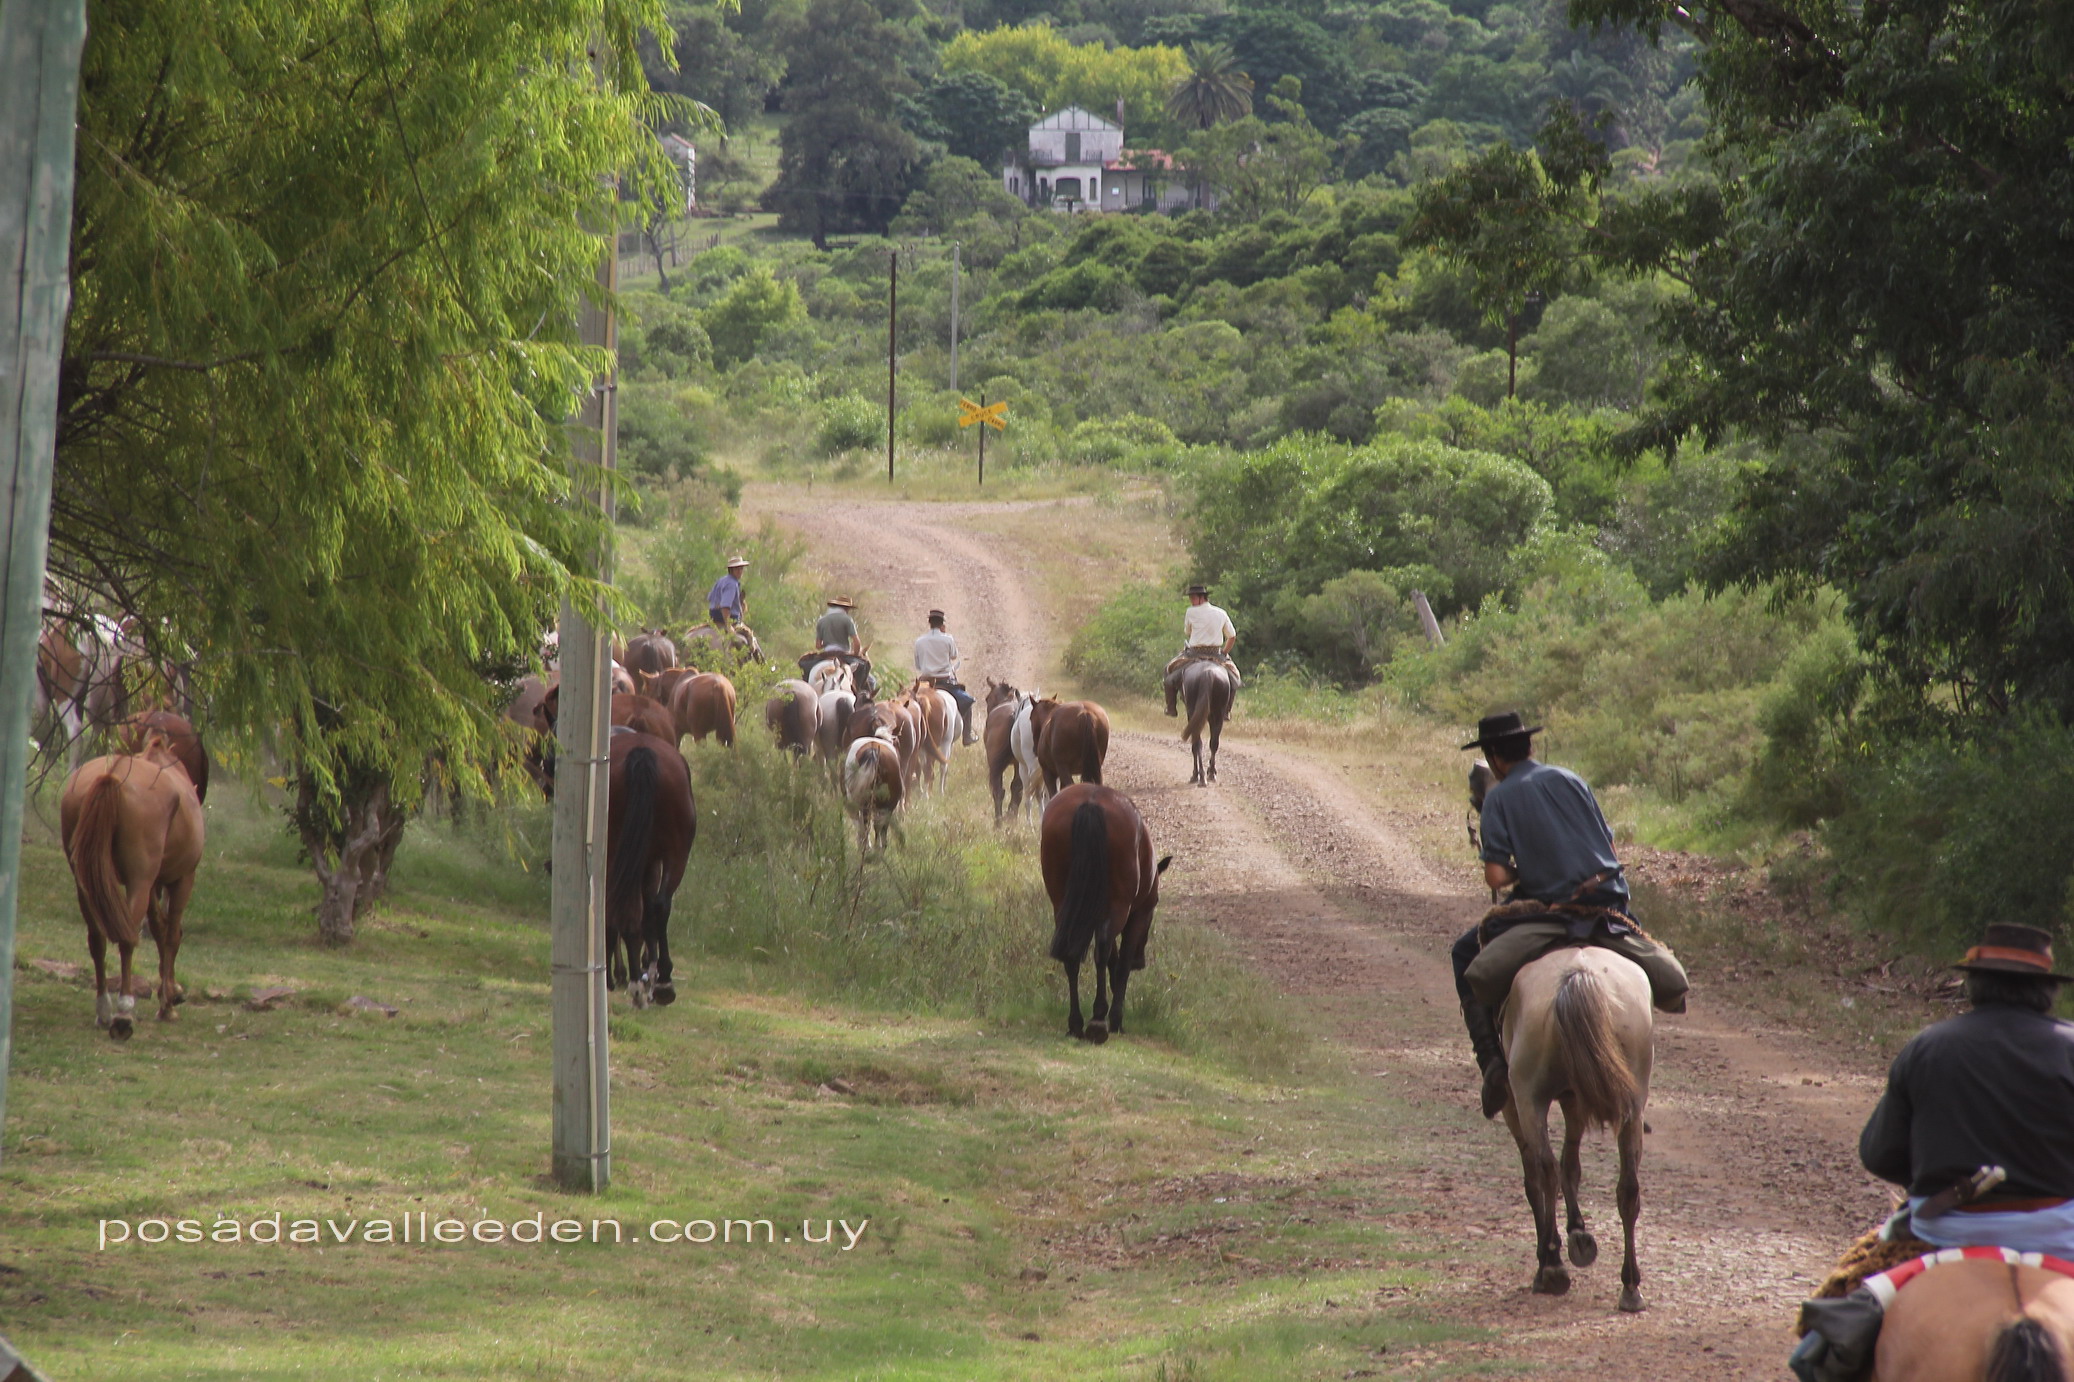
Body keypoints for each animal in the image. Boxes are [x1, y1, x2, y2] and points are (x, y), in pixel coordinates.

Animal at [59, 738, 203, 1037]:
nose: (176, 997)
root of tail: (113, 774)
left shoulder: (152, 886)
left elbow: (158, 928)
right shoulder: (181, 879)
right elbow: (171, 934)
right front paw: (167, 1003)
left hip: (86, 884)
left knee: (97, 939)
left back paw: (104, 1009)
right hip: (139, 880)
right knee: (127, 939)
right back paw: (123, 1012)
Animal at [1037, 780, 1169, 1037]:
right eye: (1156, 902)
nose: (1141, 961)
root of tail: (1091, 803)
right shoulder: (1137, 914)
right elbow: (1121, 961)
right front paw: (1117, 1017)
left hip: (1062, 903)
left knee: (1072, 955)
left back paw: (1076, 1022)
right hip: (1118, 906)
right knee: (1103, 949)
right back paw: (1099, 1018)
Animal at [1493, 942, 1650, 1311]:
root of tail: (1578, 975)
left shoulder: (1513, 1105)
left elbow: (1538, 1177)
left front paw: (1555, 1253)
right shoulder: (1574, 1100)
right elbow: (1573, 1166)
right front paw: (1579, 1233)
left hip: (1528, 1098)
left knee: (1543, 1171)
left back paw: (1551, 1266)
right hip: (1632, 1105)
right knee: (1628, 1187)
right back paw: (1630, 1286)